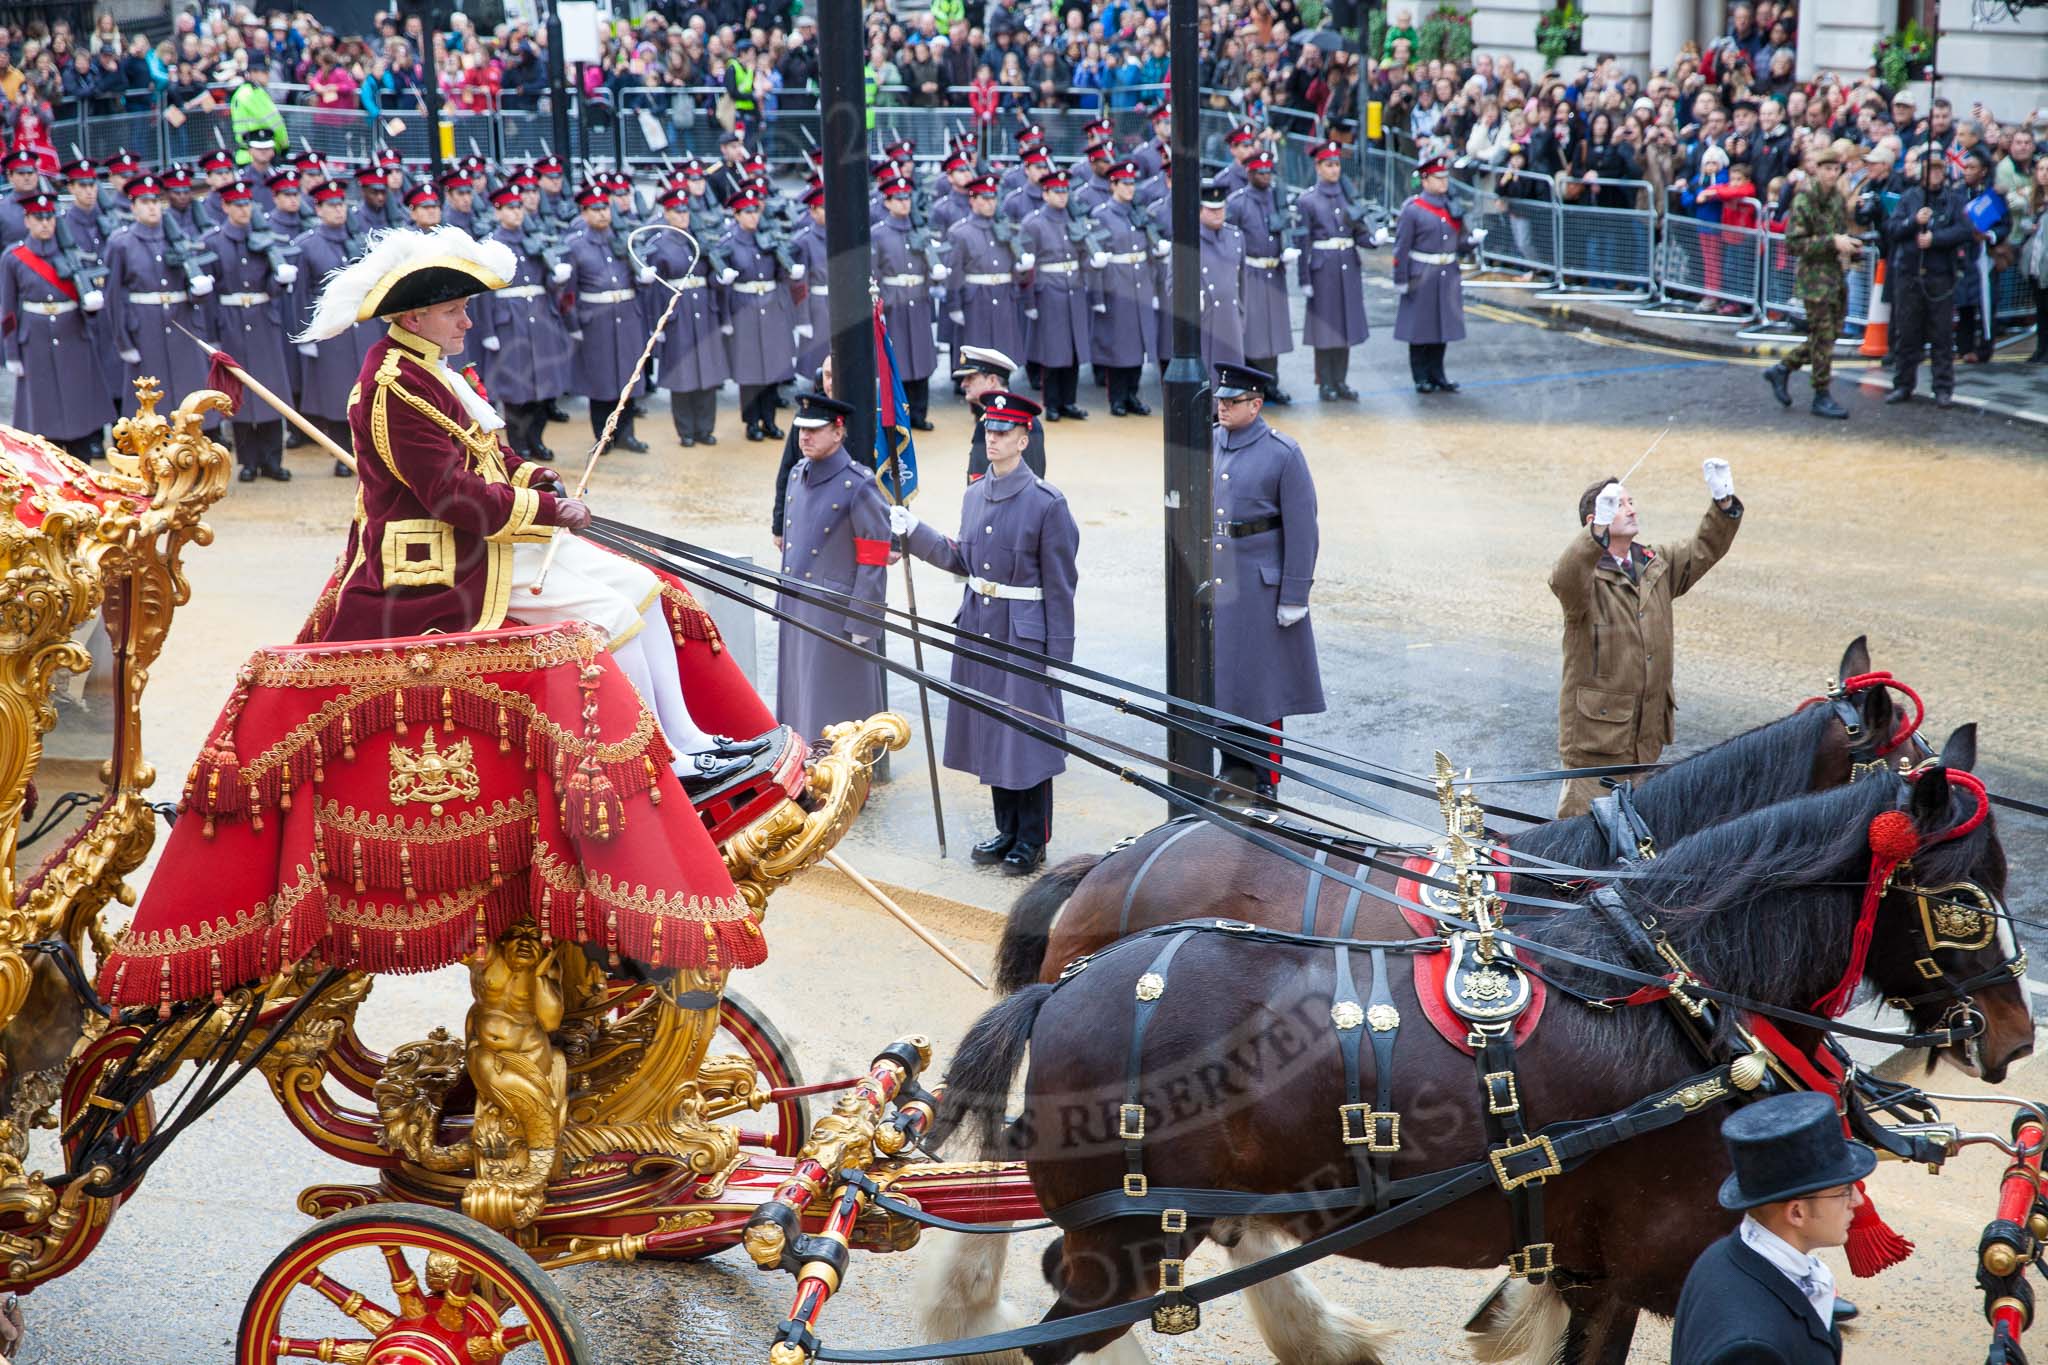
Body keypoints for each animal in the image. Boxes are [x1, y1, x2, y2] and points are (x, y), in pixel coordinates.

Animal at [933, 740, 2031, 1358]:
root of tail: (1066, 982)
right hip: (1120, 1245)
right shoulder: (1654, 1266)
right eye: (1967, 900)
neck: (1681, 1003)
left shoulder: (1591, 1270)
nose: (2014, 1037)